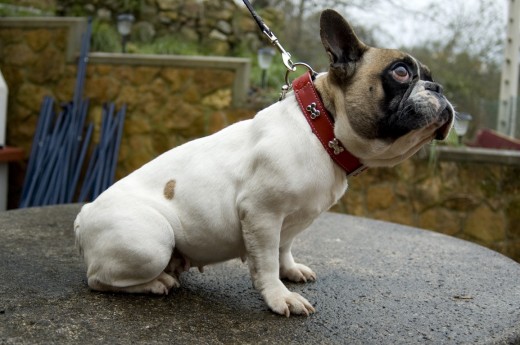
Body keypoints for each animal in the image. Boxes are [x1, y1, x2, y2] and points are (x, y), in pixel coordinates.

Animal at [74, 8, 456, 314]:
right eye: (401, 73)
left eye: (430, 77)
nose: (439, 88)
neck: (322, 127)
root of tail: (83, 216)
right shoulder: (262, 214)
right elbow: (267, 262)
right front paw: (279, 296)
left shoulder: (289, 221)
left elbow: (283, 250)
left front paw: (291, 271)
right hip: (151, 242)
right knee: (98, 280)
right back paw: (156, 283)